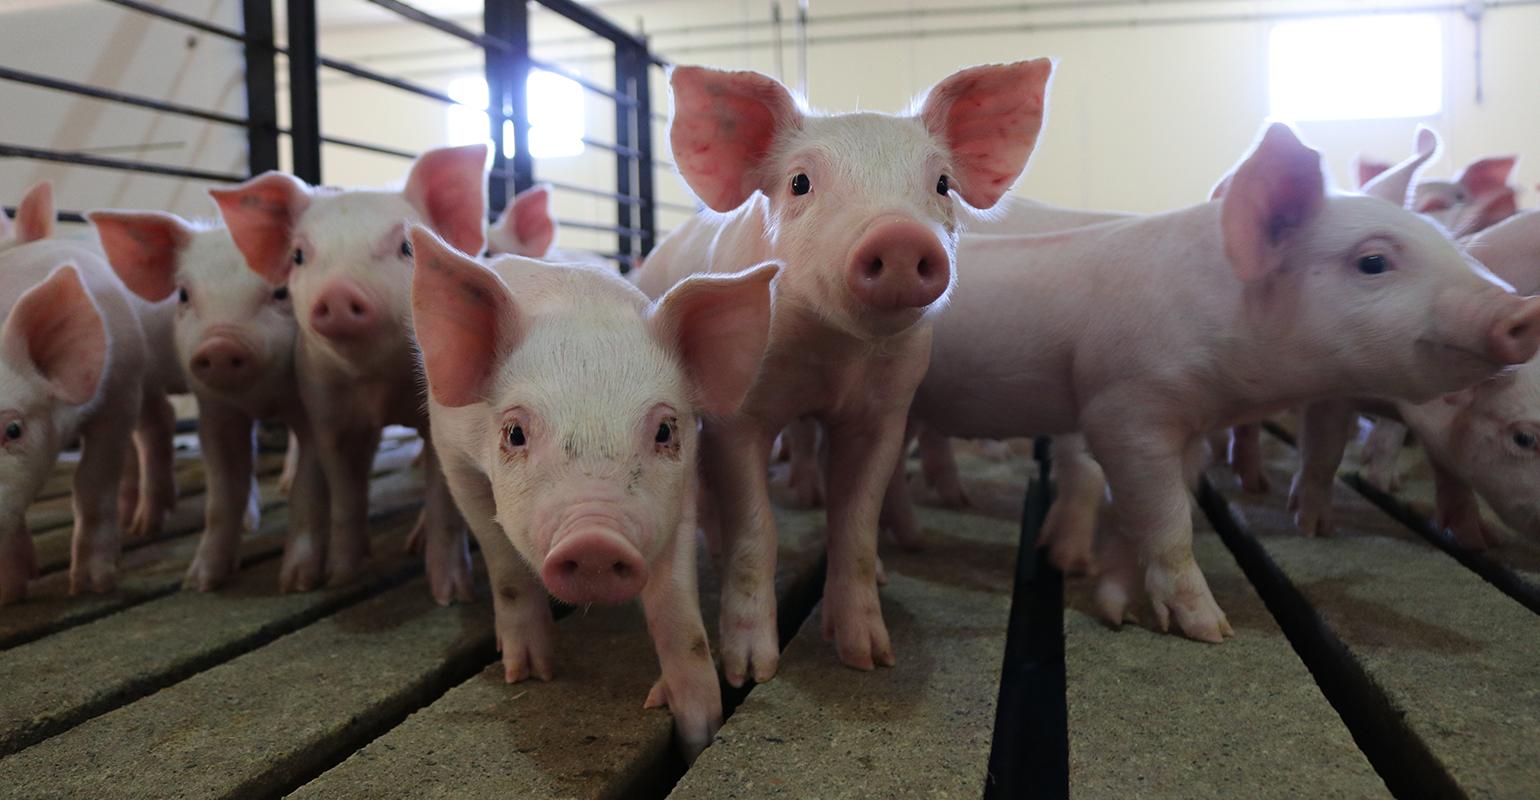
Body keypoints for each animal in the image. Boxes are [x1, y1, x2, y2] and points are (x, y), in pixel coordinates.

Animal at [88, 210, 325, 591]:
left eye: (282, 291)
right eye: (184, 294)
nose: (220, 346)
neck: (263, 398)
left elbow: (308, 489)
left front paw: (296, 583)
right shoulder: (216, 413)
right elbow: (222, 496)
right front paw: (199, 582)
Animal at [210, 144, 488, 604]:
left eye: (407, 247)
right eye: (299, 256)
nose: (338, 294)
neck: (379, 382)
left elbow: (444, 501)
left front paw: (451, 596)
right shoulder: (327, 409)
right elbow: (345, 493)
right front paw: (340, 577)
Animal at [411, 226, 775, 759]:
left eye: (665, 430)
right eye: (515, 433)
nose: (595, 540)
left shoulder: (680, 489)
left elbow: (677, 608)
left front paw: (699, 729)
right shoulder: (458, 458)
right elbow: (505, 566)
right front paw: (530, 674)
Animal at [632, 60, 1054, 682]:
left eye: (942, 184)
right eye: (800, 183)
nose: (899, 236)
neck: (832, 357)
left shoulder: (884, 414)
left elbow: (855, 522)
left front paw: (870, 659)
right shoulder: (740, 418)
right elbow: (757, 528)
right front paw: (751, 670)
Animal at [881, 122, 1540, 642]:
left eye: (1448, 243)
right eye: (1373, 262)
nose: (1522, 312)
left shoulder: (1194, 425)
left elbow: (1141, 518)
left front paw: (1117, 607)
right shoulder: (1123, 406)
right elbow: (1168, 518)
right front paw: (1211, 630)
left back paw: (916, 541)